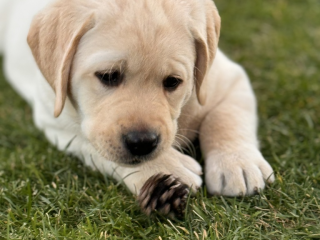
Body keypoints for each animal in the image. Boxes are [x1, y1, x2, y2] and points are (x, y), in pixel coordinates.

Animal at [1, 0, 274, 215]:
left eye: (173, 82)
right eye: (108, 76)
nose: (142, 142)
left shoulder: (229, 79)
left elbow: (226, 118)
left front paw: (237, 164)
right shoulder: (54, 119)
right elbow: (93, 144)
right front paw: (167, 167)